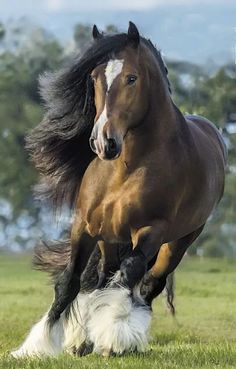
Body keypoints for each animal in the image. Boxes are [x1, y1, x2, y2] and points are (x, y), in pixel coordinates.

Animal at [12, 23, 226, 356]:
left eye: (132, 78)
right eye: (94, 78)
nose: (103, 142)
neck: (125, 170)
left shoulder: (150, 231)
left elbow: (128, 277)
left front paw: (113, 338)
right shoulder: (85, 228)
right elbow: (70, 282)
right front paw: (37, 346)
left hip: (178, 241)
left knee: (148, 284)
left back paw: (127, 339)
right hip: (110, 238)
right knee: (103, 276)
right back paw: (83, 339)